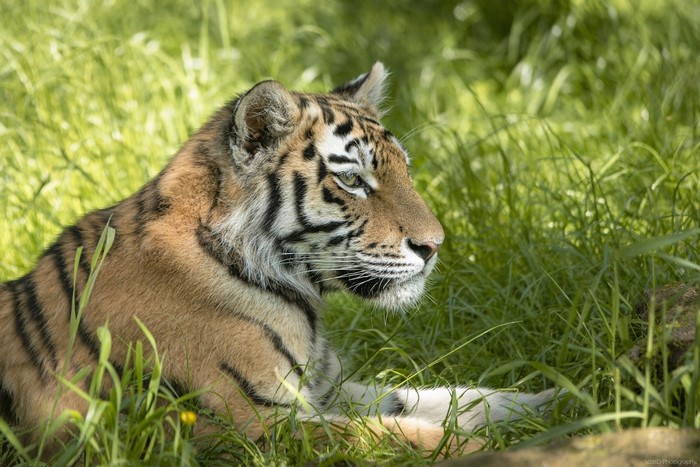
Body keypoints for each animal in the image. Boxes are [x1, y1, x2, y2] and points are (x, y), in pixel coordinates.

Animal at [0, 62, 557, 456]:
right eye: (352, 180)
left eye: (405, 170)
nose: (434, 246)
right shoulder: (253, 421)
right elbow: (391, 435)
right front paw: (498, 447)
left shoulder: (327, 389)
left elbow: (447, 398)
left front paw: (558, 402)